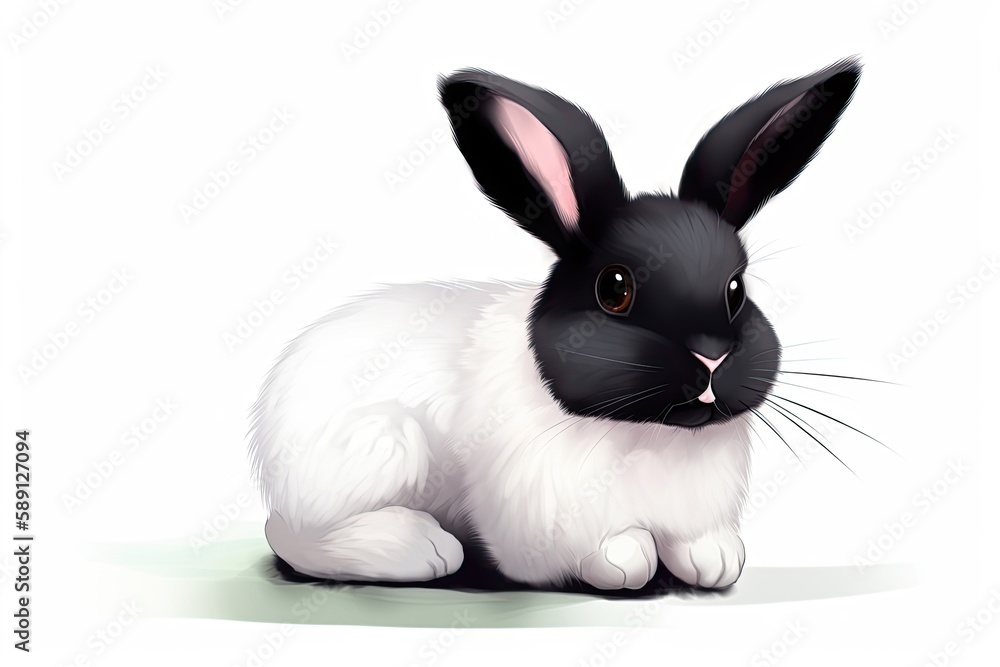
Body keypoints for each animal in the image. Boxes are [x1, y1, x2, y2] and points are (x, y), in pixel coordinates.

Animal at [249, 57, 861, 590]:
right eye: (615, 288)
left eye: (736, 289)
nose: (711, 357)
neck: (652, 434)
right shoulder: (533, 527)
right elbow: (609, 553)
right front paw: (628, 558)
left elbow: (698, 544)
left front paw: (716, 560)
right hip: (382, 447)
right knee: (296, 536)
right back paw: (422, 548)